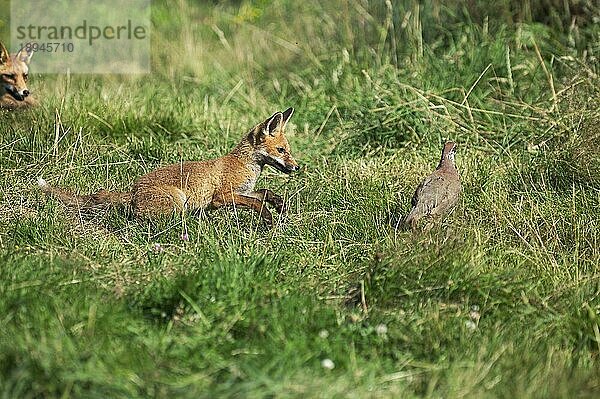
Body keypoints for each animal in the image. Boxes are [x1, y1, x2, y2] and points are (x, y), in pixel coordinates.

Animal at [38, 108, 300, 227]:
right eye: (281, 151)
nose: (297, 167)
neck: (245, 165)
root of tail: (132, 192)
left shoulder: (243, 191)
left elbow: (264, 193)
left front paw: (279, 205)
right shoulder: (222, 196)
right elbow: (256, 203)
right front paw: (268, 217)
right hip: (179, 200)